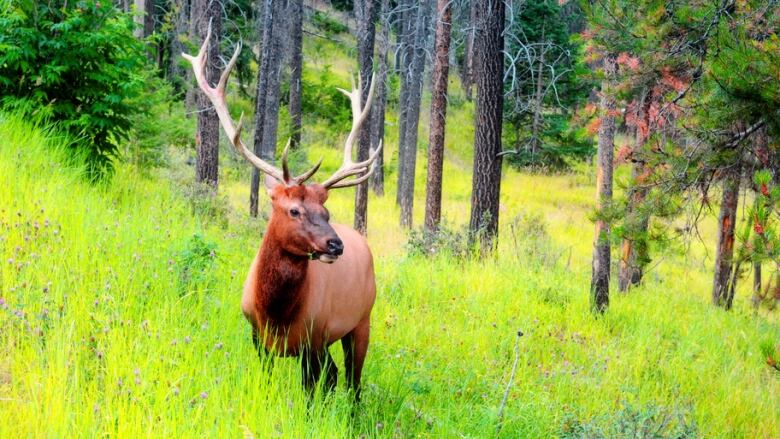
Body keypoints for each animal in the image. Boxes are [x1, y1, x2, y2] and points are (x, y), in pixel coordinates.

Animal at [183, 28, 378, 398]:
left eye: (326, 211)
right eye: (294, 210)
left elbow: (311, 392)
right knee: (338, 376)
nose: (335, 245)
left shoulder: (314, 340)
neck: (275, 313)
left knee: (352, 382)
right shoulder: (258, 337)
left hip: (361, 320)